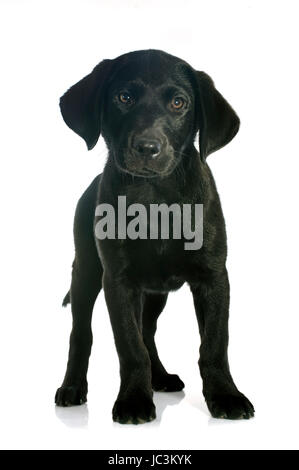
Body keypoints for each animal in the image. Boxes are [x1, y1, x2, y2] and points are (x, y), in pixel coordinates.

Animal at [55, 49, 254, 424]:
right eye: (123, 98)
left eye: (178, 103)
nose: (148, 147)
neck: (154, 199)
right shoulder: (118, 281)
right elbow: (130, 346)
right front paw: (134, 401)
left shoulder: (214, 276)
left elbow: (214, 343)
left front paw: (226, 395)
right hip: (86, 272)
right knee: (82, 334)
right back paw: (72, 388)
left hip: (155, 292)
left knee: (148, 331)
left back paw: (160, 378)